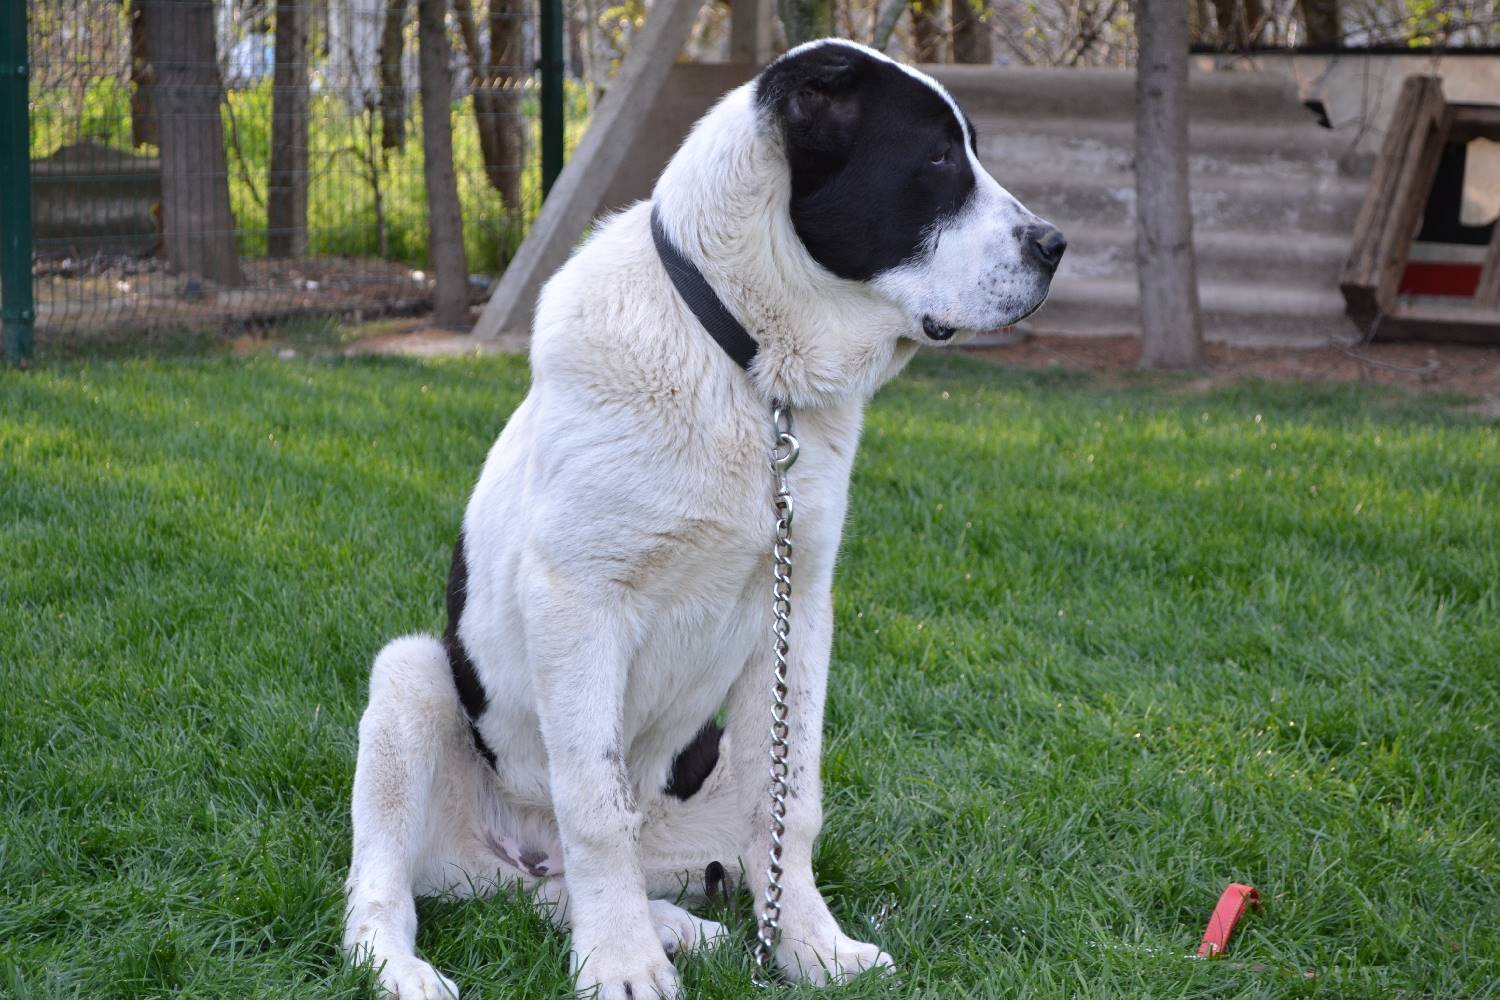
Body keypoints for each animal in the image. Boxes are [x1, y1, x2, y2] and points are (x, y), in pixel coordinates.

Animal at [343, 39, 1062, 1000]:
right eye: (940, 160)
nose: (1056, 246)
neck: (746, 366)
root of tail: (519, 854)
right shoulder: (578, 605)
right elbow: (598, 806)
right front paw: (619, 966)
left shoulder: (800, 609)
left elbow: (790, 804)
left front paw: (808, 948)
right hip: (412, 679)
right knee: (390, 884)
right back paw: (416, 964)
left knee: (604, 880)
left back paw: (683, 926)